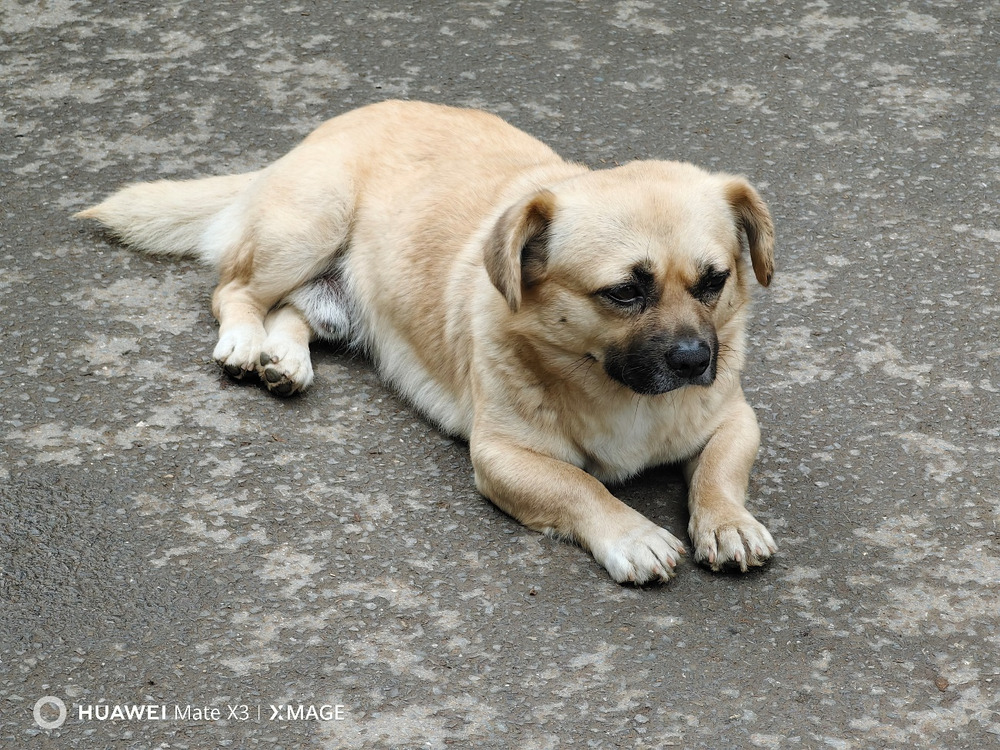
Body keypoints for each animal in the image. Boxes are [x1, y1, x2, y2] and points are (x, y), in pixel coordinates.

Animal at [78, 100, 780, 584]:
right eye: (625, 293)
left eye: (714, 281)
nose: (696, 361)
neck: (611, 382)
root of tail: (334, 124)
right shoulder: (502, 457)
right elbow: (582, 488)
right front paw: (632, 534)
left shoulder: (734, 419)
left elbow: (719, 470)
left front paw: (727, 523)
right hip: (308, 226)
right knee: (237, 292)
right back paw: (246, 343)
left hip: (332, 293)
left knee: (294, 312)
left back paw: (286, 361)